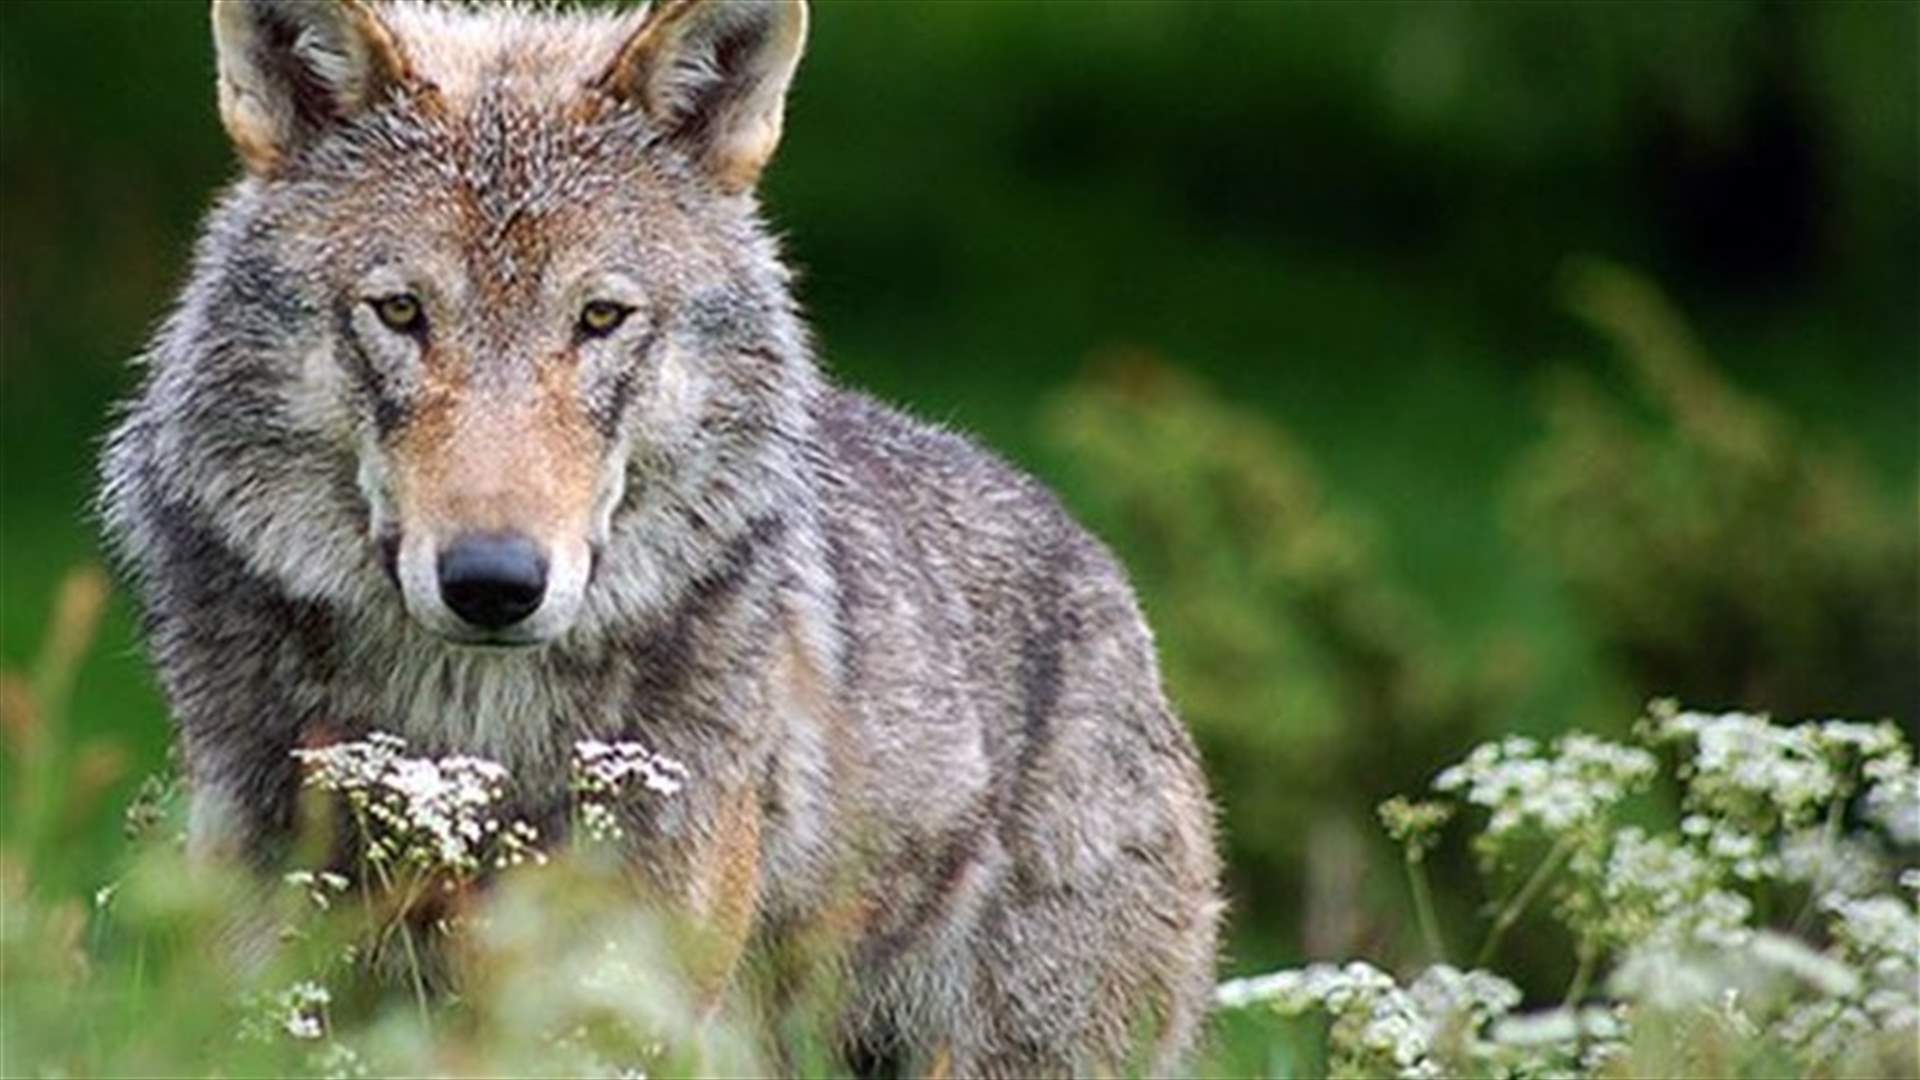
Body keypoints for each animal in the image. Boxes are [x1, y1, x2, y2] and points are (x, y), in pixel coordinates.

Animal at [100, 0, 1220, 1073]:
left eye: (600, 318)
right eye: (402, 311)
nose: (493, 581)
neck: (469, 735)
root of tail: (1099, 569)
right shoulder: (273, 990)